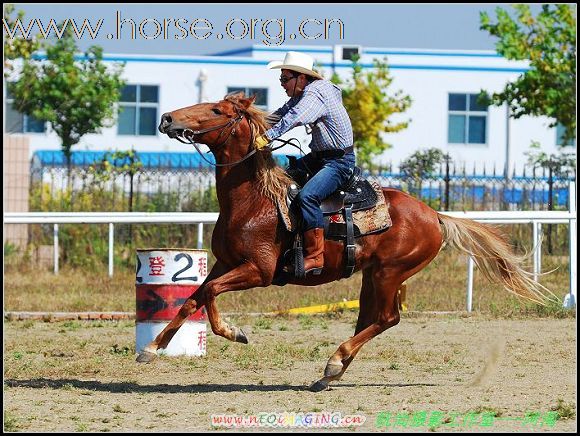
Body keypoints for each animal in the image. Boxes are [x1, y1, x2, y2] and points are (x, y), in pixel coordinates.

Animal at [137, 92, 556, 392]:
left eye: (215, 109)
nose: (168, 118)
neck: (254, 200)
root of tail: (434, 215)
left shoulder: (258, 271)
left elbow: (209, 295)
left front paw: (235, 332)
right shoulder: (225, 264)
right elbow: (193, 297)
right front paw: (152, 348)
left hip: (389, 273)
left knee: (387, 318)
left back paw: (334, 362)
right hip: (373, 275)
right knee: (369, 319)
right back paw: (329, 374)